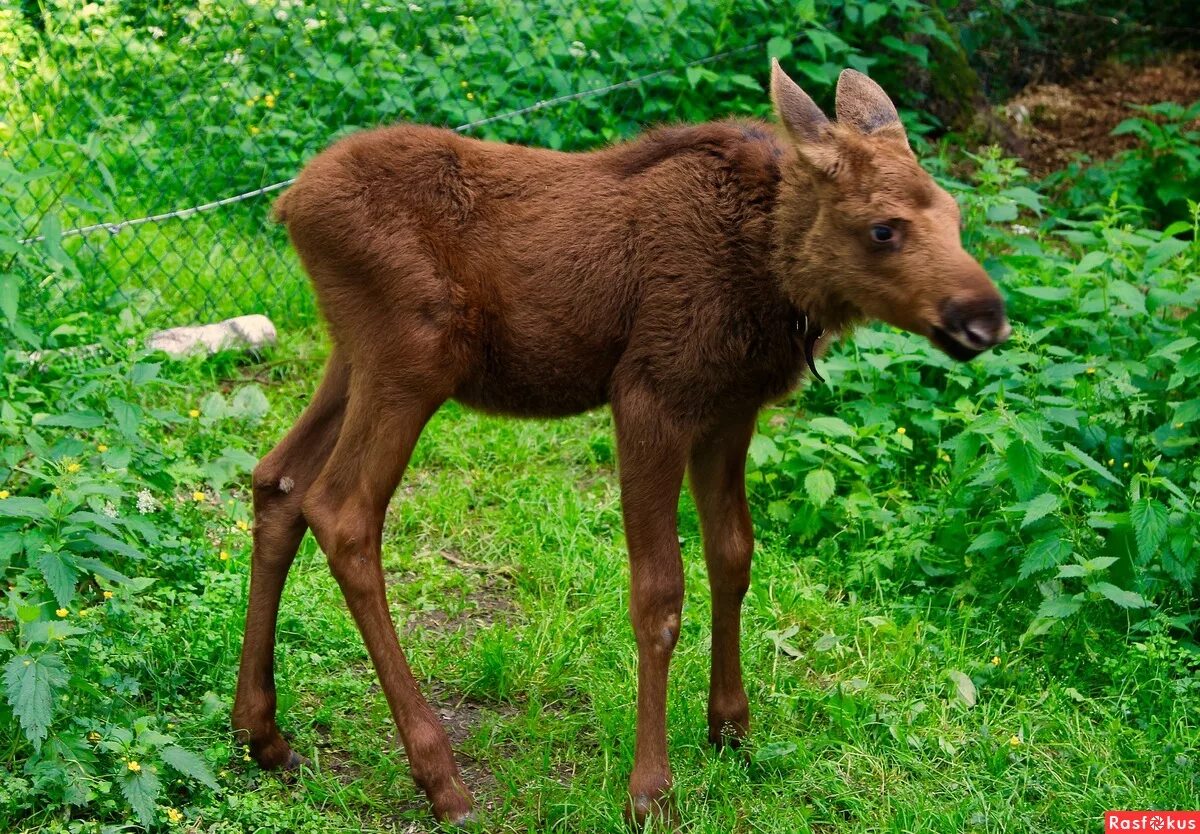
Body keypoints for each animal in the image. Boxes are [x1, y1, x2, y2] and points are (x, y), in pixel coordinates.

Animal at [229, 62, 1008, 825]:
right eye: (883, 229)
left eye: (956, 216)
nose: (985, 318)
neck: (773, 280)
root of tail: (290, 205)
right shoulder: (649, 396)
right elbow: (658, 594)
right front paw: (651, 790)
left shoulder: (730, 411)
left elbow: (733, 556)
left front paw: (730, 726)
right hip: (412, 356)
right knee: (343, 512)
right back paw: (439, 777)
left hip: (352, 356)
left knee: (277, 479)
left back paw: (261, 733)